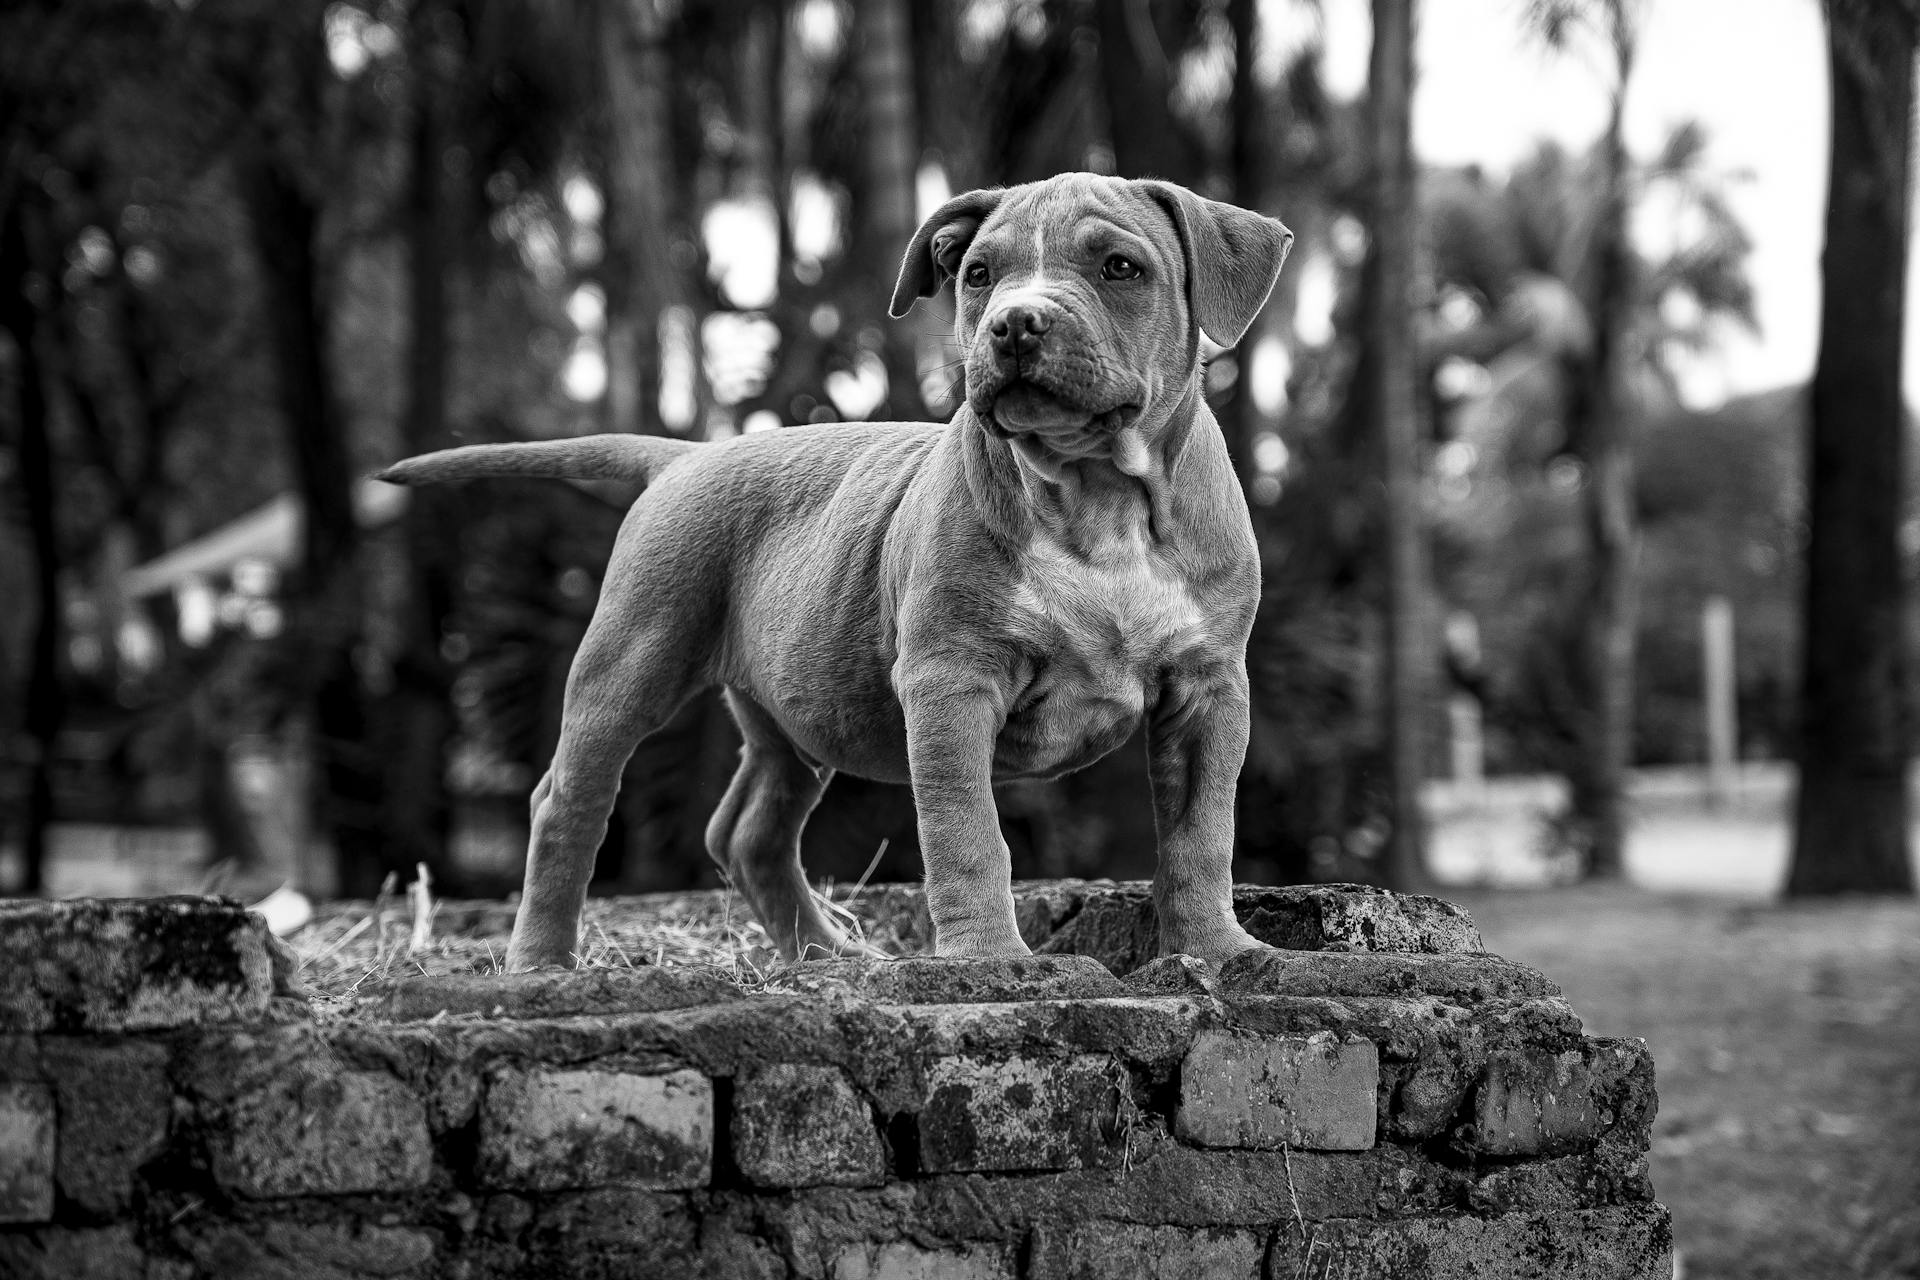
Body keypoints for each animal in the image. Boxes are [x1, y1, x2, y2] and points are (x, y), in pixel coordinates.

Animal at [374, 172, 1290, 971]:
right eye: (980, 275)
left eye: (1120, 268)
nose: (1015, 323)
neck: (1097, 496)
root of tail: (687, 456)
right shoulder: (951, 679)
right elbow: (966, 831)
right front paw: (991, 960)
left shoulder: (1209, 690)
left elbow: (1201, 831)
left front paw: (1223, 951)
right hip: (631, 659)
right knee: (568, 802)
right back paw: (540, 963)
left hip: (790, 702)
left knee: (749, 831)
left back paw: (827, 956)